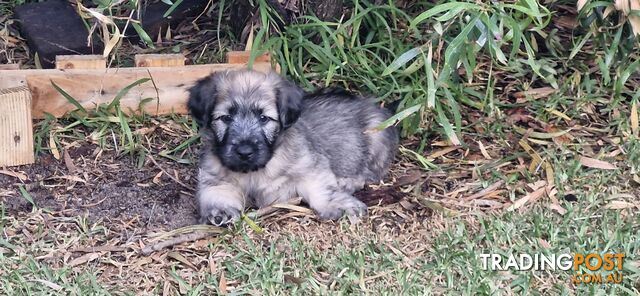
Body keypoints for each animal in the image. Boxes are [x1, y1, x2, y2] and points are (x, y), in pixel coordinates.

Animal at [188, 69, 398, 225]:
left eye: (264, 118)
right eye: (226, 118)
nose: (244, 152)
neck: (255, 172)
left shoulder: (311, 165)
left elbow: (321, 188)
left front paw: (337, 204)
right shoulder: (214, 175)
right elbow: (216, 192)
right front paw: (220, 211)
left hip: (376, 134)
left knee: (369, 174)